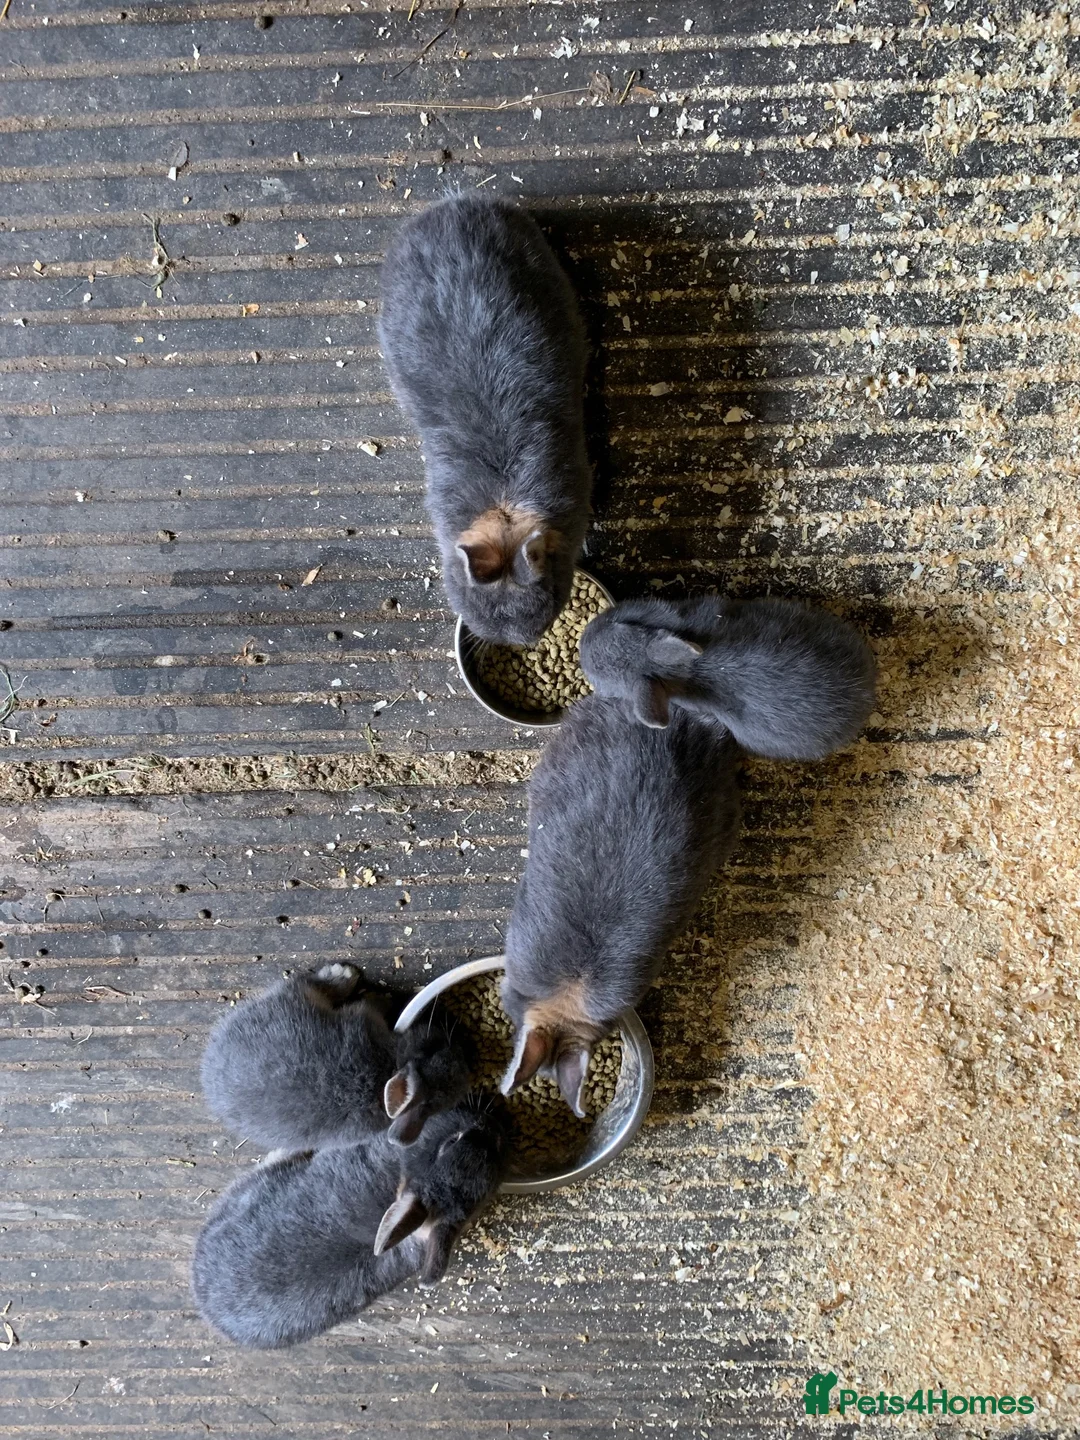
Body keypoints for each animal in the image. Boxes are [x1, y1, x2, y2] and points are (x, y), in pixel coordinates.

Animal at [200, 963, 475, 1150]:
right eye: (435, 1047)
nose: (466, 1050)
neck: (389, 1065)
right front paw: (380, 999)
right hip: (295, 999)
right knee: (311, 985)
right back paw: (346, 975)